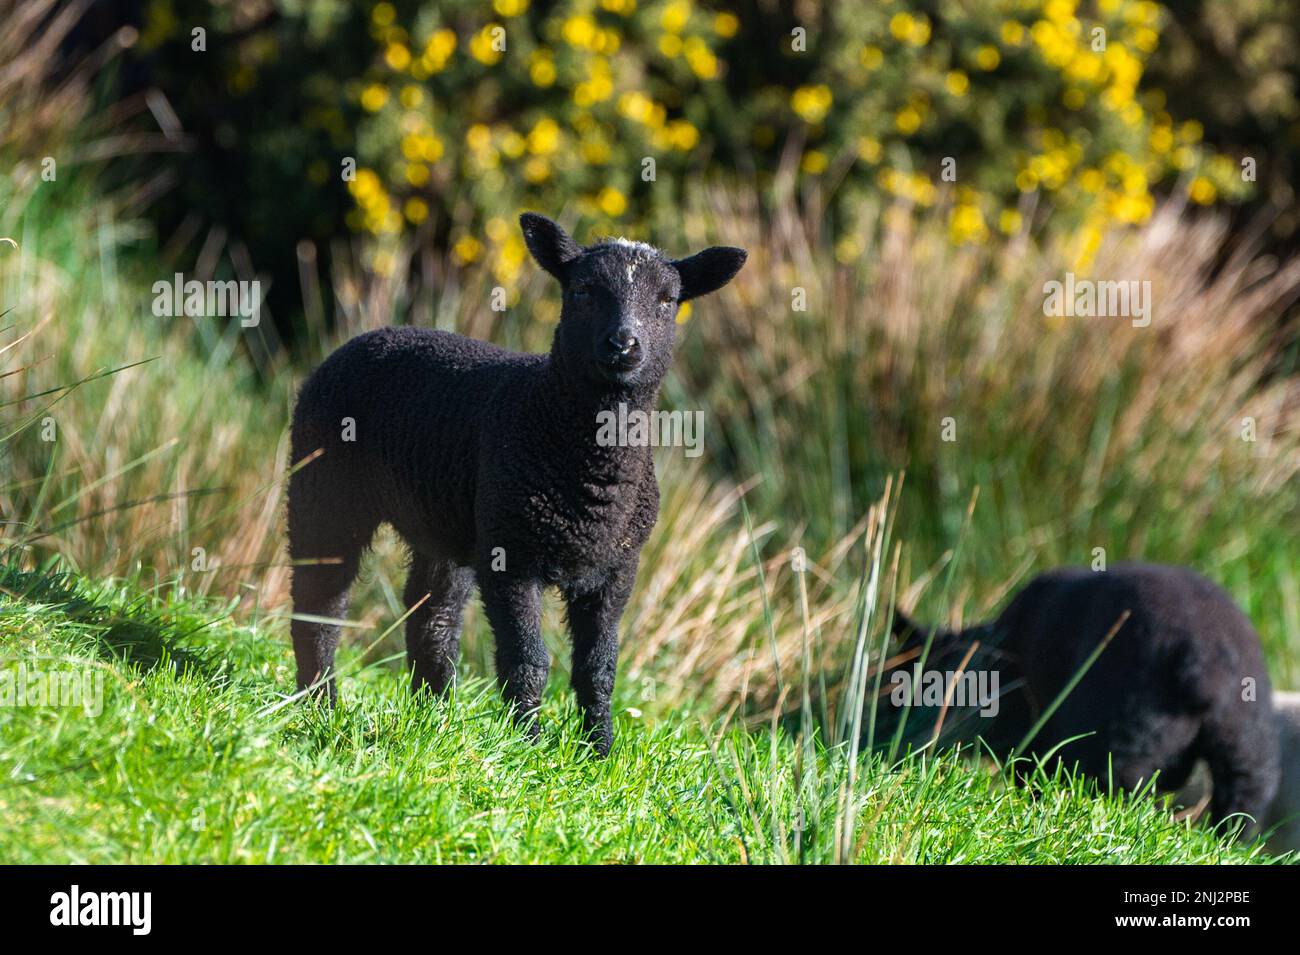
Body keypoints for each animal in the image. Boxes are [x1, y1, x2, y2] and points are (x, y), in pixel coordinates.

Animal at [289, 214, 748, 753]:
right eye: (583, 290)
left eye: (667, 300)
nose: (623, 345)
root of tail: (368, 336)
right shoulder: (511, 554)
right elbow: (527, 660)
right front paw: (526, 744)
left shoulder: (617, 568)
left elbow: (599, 668)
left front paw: (599, 751)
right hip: (323, 489)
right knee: (320, 604)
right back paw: (320, 705)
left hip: (448, 524)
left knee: (432, 619)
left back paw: (434, 717)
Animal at [894, 563, 1279, 831]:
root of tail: (1206, 663)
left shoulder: (1031, 737)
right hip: (1247, 746)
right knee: (1243, 805)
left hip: (1117, 739)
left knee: (1124, 791)